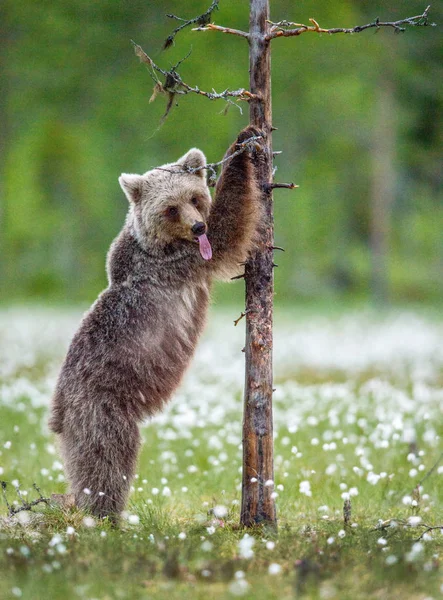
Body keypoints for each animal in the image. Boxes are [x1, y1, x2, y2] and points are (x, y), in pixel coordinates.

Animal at [49, 125, 264, 520]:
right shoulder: (179, 263)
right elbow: (229, 229)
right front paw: (244, 144)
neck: (159, 244)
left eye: (194, 197)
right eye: (170, 208)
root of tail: (59, 409)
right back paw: (103, 513)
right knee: (106, 460)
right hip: (101, 408)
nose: (198, 227)